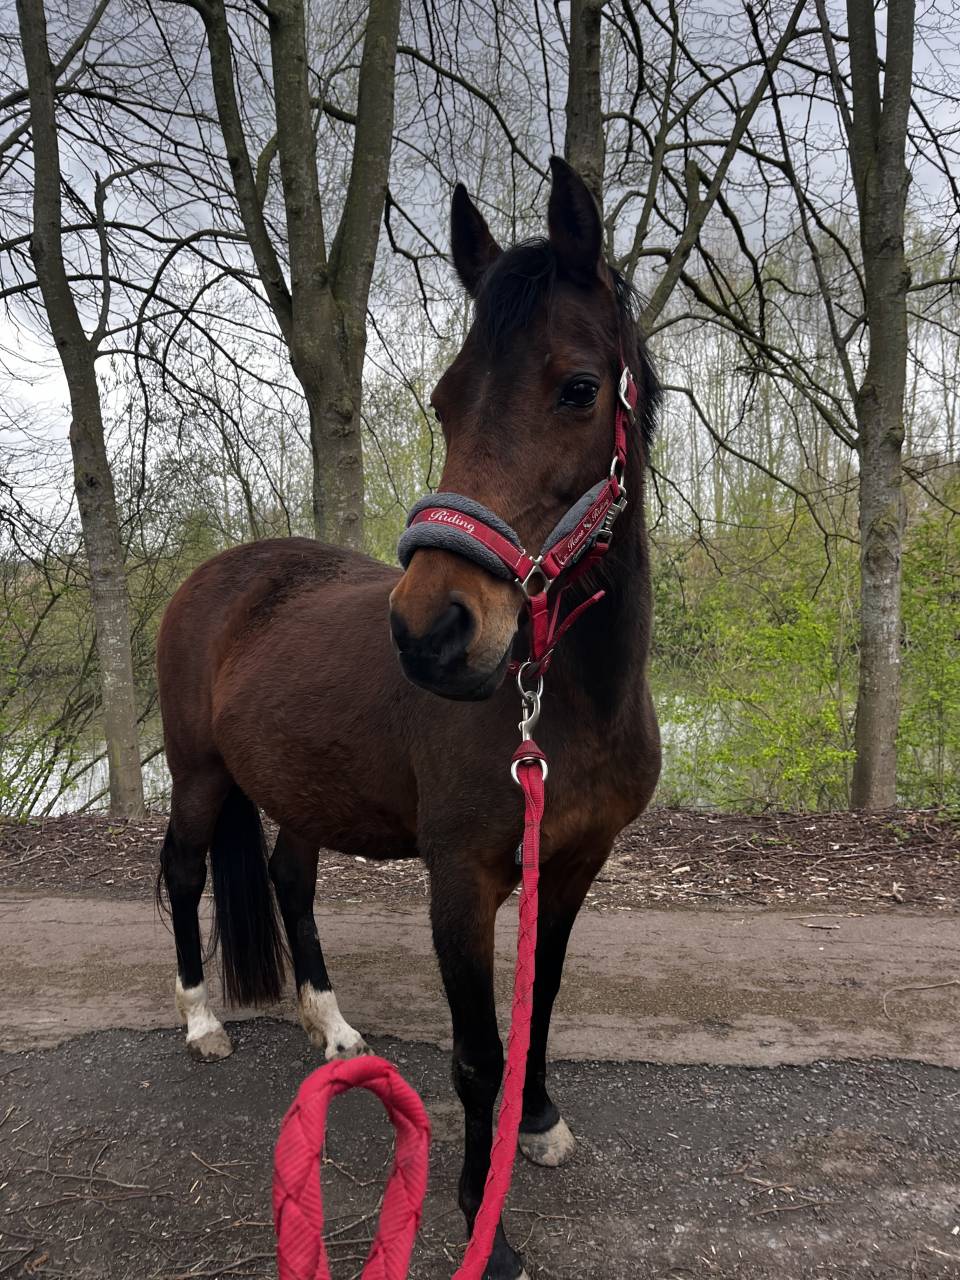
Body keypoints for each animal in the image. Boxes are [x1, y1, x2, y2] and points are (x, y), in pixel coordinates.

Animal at [156, 156, 661, 1280]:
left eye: (578, 387)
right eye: (444, 399)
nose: (433, 631)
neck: (563, 702)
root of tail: (211, 576)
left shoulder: (573, 865)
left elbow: (539, 1004)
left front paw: (538, 1122)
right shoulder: (459, 880)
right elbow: (476, 1051)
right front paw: (483, 1217)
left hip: (297, 789)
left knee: (290, 882)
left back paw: (333, 1027)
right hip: (201, 776)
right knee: (181, 872)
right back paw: (201, 1020)